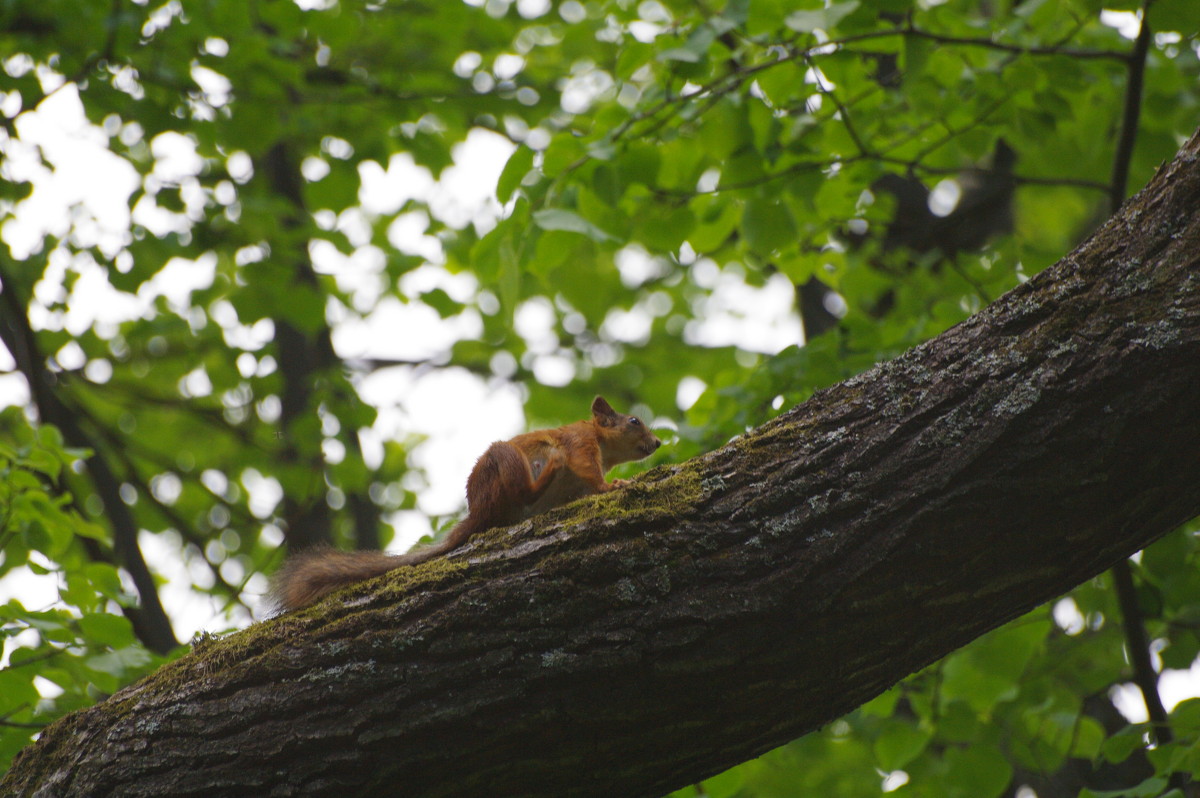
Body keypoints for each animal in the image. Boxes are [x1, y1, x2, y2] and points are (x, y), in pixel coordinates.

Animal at [270, 396, 667, 609]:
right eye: (634, 420)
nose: (659, 443)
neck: (604, 446)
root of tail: (478, 511)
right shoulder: (580, 443)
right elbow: (589, 471)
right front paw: (612, 485)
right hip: (504, 462)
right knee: (523, 492)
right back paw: (549, 470)